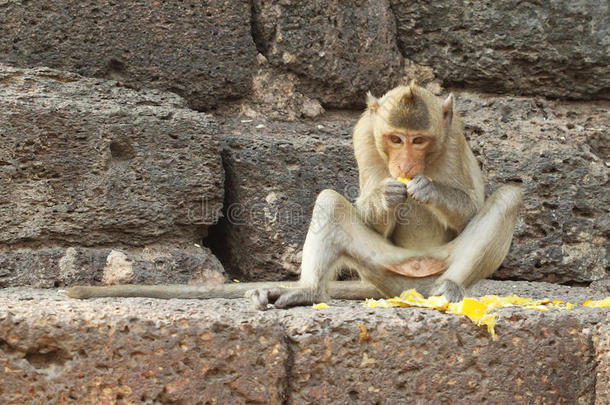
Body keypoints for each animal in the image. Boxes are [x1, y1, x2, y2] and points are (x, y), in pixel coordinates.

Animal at [67, 81, 524, 310]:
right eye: (395, 139)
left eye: (420, 140)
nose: (407, 165)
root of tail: (406, 285)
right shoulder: (363, 133)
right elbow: (367, 207)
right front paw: (389, 194)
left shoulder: (455, 134)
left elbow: (473, 205)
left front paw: (425, 188)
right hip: (382, 267)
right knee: (330, 203)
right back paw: (308, 291)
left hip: (433, 267)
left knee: (508, 199)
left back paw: (450, 288)